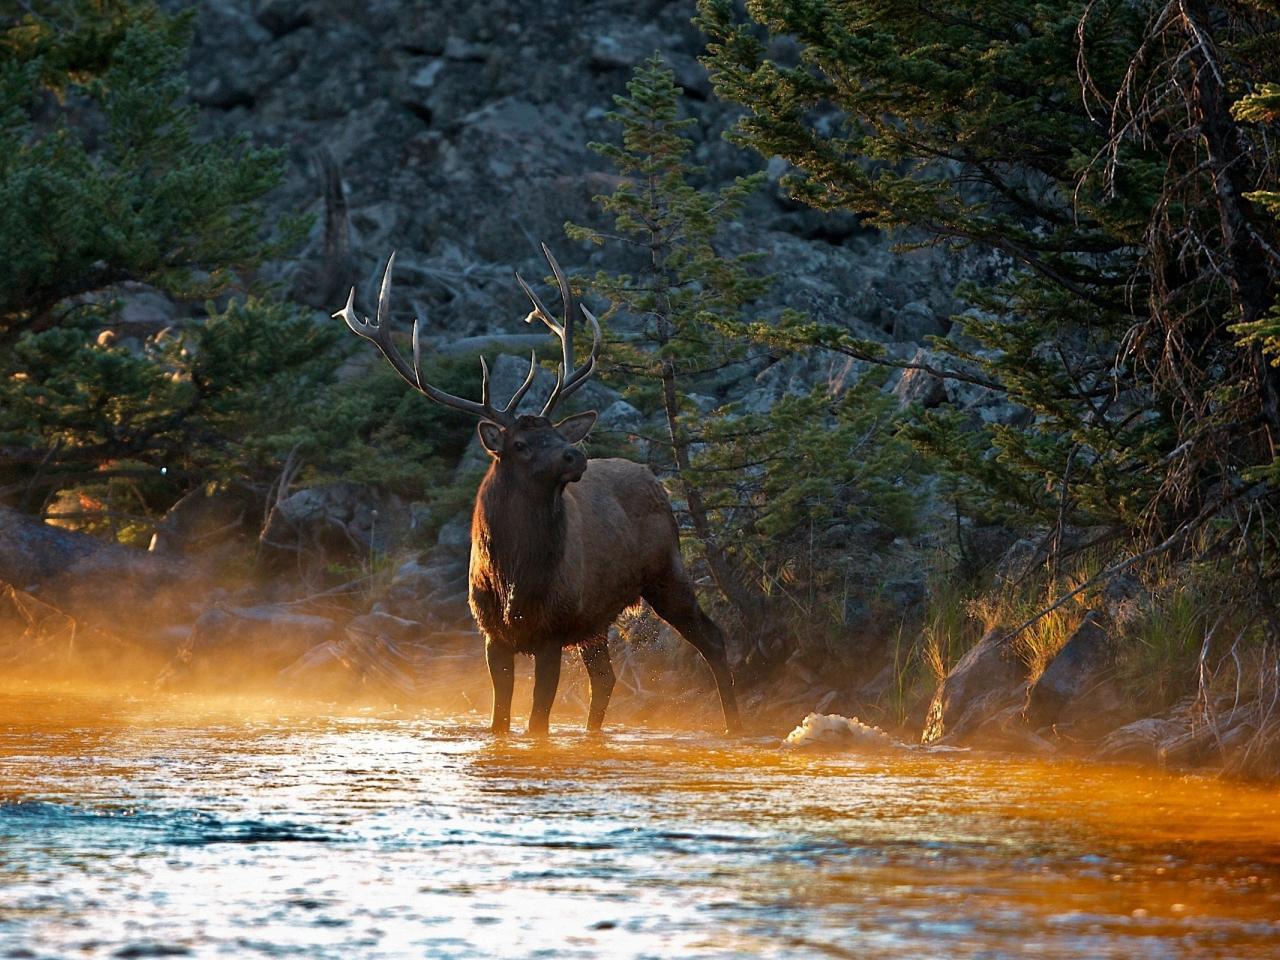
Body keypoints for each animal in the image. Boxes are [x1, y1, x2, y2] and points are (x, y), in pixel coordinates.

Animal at [335, 241, 742, 737]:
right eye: (522, 444)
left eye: (556, 433)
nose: (575, 455)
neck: (514, 578)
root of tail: (656, 481)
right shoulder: (493, 635)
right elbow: (500, 721)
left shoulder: (552, 630)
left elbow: (537, 723)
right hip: (596, 618)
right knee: (605, 679)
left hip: (667, 569)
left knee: (712, 638)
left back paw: (734, 725)